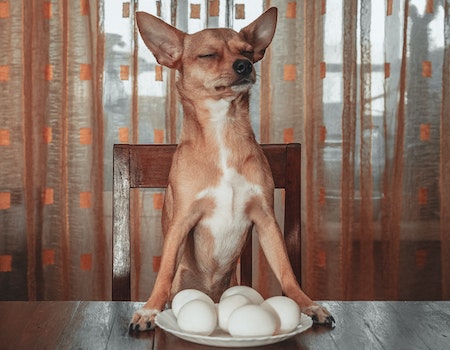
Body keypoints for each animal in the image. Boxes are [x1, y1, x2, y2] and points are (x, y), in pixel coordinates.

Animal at [130, 7, 334, 330]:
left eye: (248, 51)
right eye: (208, 55)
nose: (244, 65)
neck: (223, 130)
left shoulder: (266, 221)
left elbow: (287, 271)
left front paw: (308, 304)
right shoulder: (181, 222)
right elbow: (163, 271)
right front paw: (150, 308)